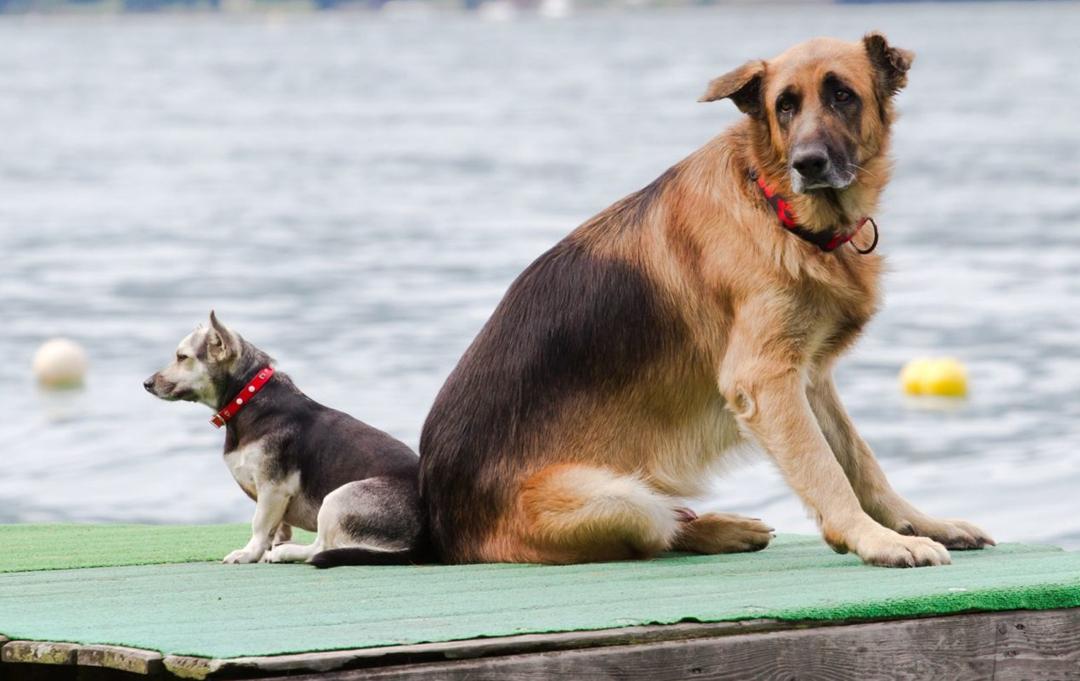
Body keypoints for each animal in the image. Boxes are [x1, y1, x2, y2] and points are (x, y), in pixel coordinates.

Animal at [145, 310, 423, 565]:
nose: (146, 383)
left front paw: (249, 553)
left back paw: (287, 552)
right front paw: (266, 549)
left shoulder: (272, 489)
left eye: (182, 357)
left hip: (336, 499)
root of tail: (423, 543)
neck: (247, 397)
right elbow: (277, 527)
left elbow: (259, 525)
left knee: (321, 548)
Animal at [416, 31, 989, 565]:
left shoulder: (809, 379)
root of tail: (442, 526)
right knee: (659, 532)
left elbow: (860, 460)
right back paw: (714, 530)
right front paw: (874, 539)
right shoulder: (765, 380)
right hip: (619, 499)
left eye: (843, 95)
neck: (773, 205)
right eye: (785, 105)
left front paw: (917, 523)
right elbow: (825, 469)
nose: (808, 164)